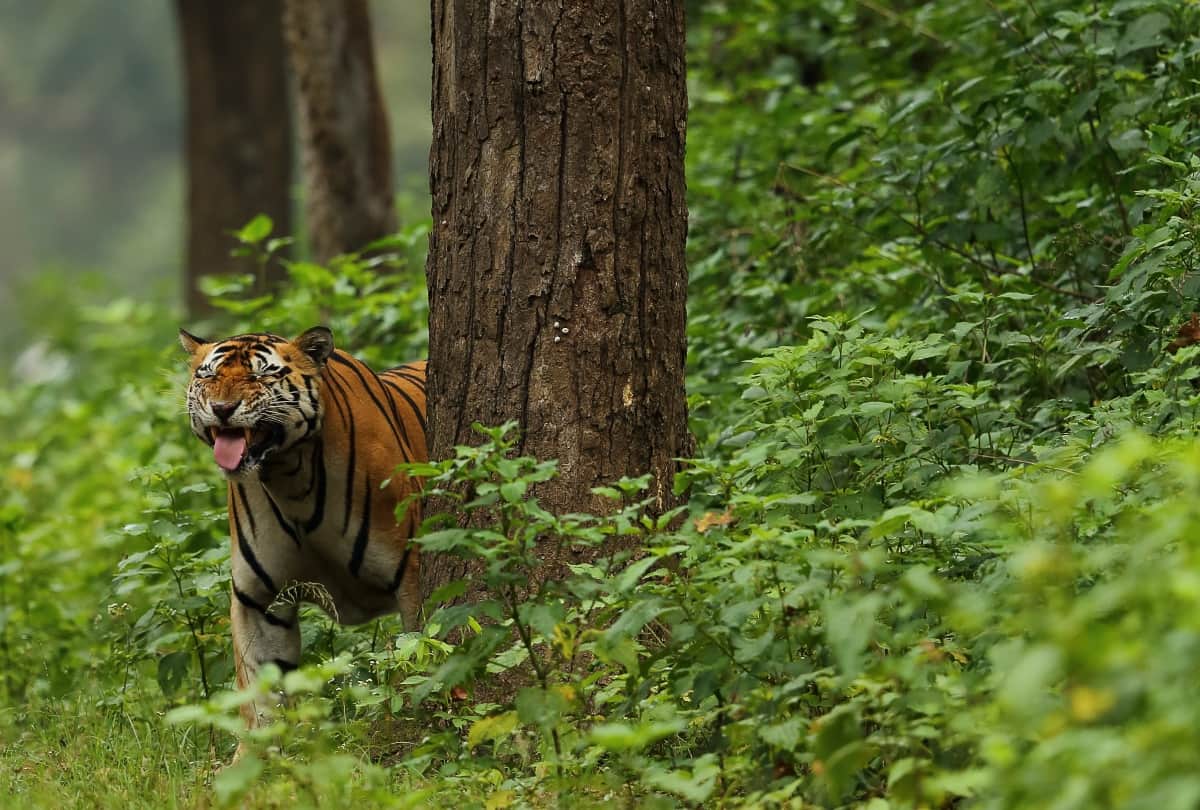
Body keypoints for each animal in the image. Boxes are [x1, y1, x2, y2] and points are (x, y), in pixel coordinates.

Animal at [179, 326, 426, 736]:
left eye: (261, 375)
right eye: (208, 375)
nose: (223, 408)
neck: (289, 476)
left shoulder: (412, 573)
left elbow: (422, 653)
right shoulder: (258, 598)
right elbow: (260, 697)